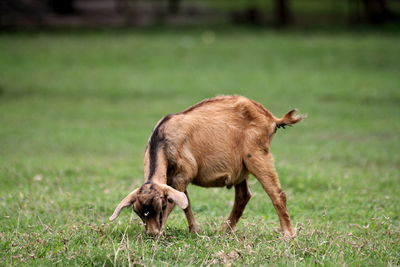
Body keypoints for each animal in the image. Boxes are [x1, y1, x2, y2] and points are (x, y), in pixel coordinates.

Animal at [109, 96, 304, 239]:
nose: (151, 233)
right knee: (243, 196)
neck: (164, 139)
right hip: (240, 168)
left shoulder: (182, 175)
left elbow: (179, 203)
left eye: (161, 206)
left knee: (277, 194)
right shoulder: (174, 179)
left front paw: (164, 232)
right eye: (137, 212)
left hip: (257, 154)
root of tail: (270, 117)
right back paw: (224, 231)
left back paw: (288, 234)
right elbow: (186, 203)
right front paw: (194, 230)